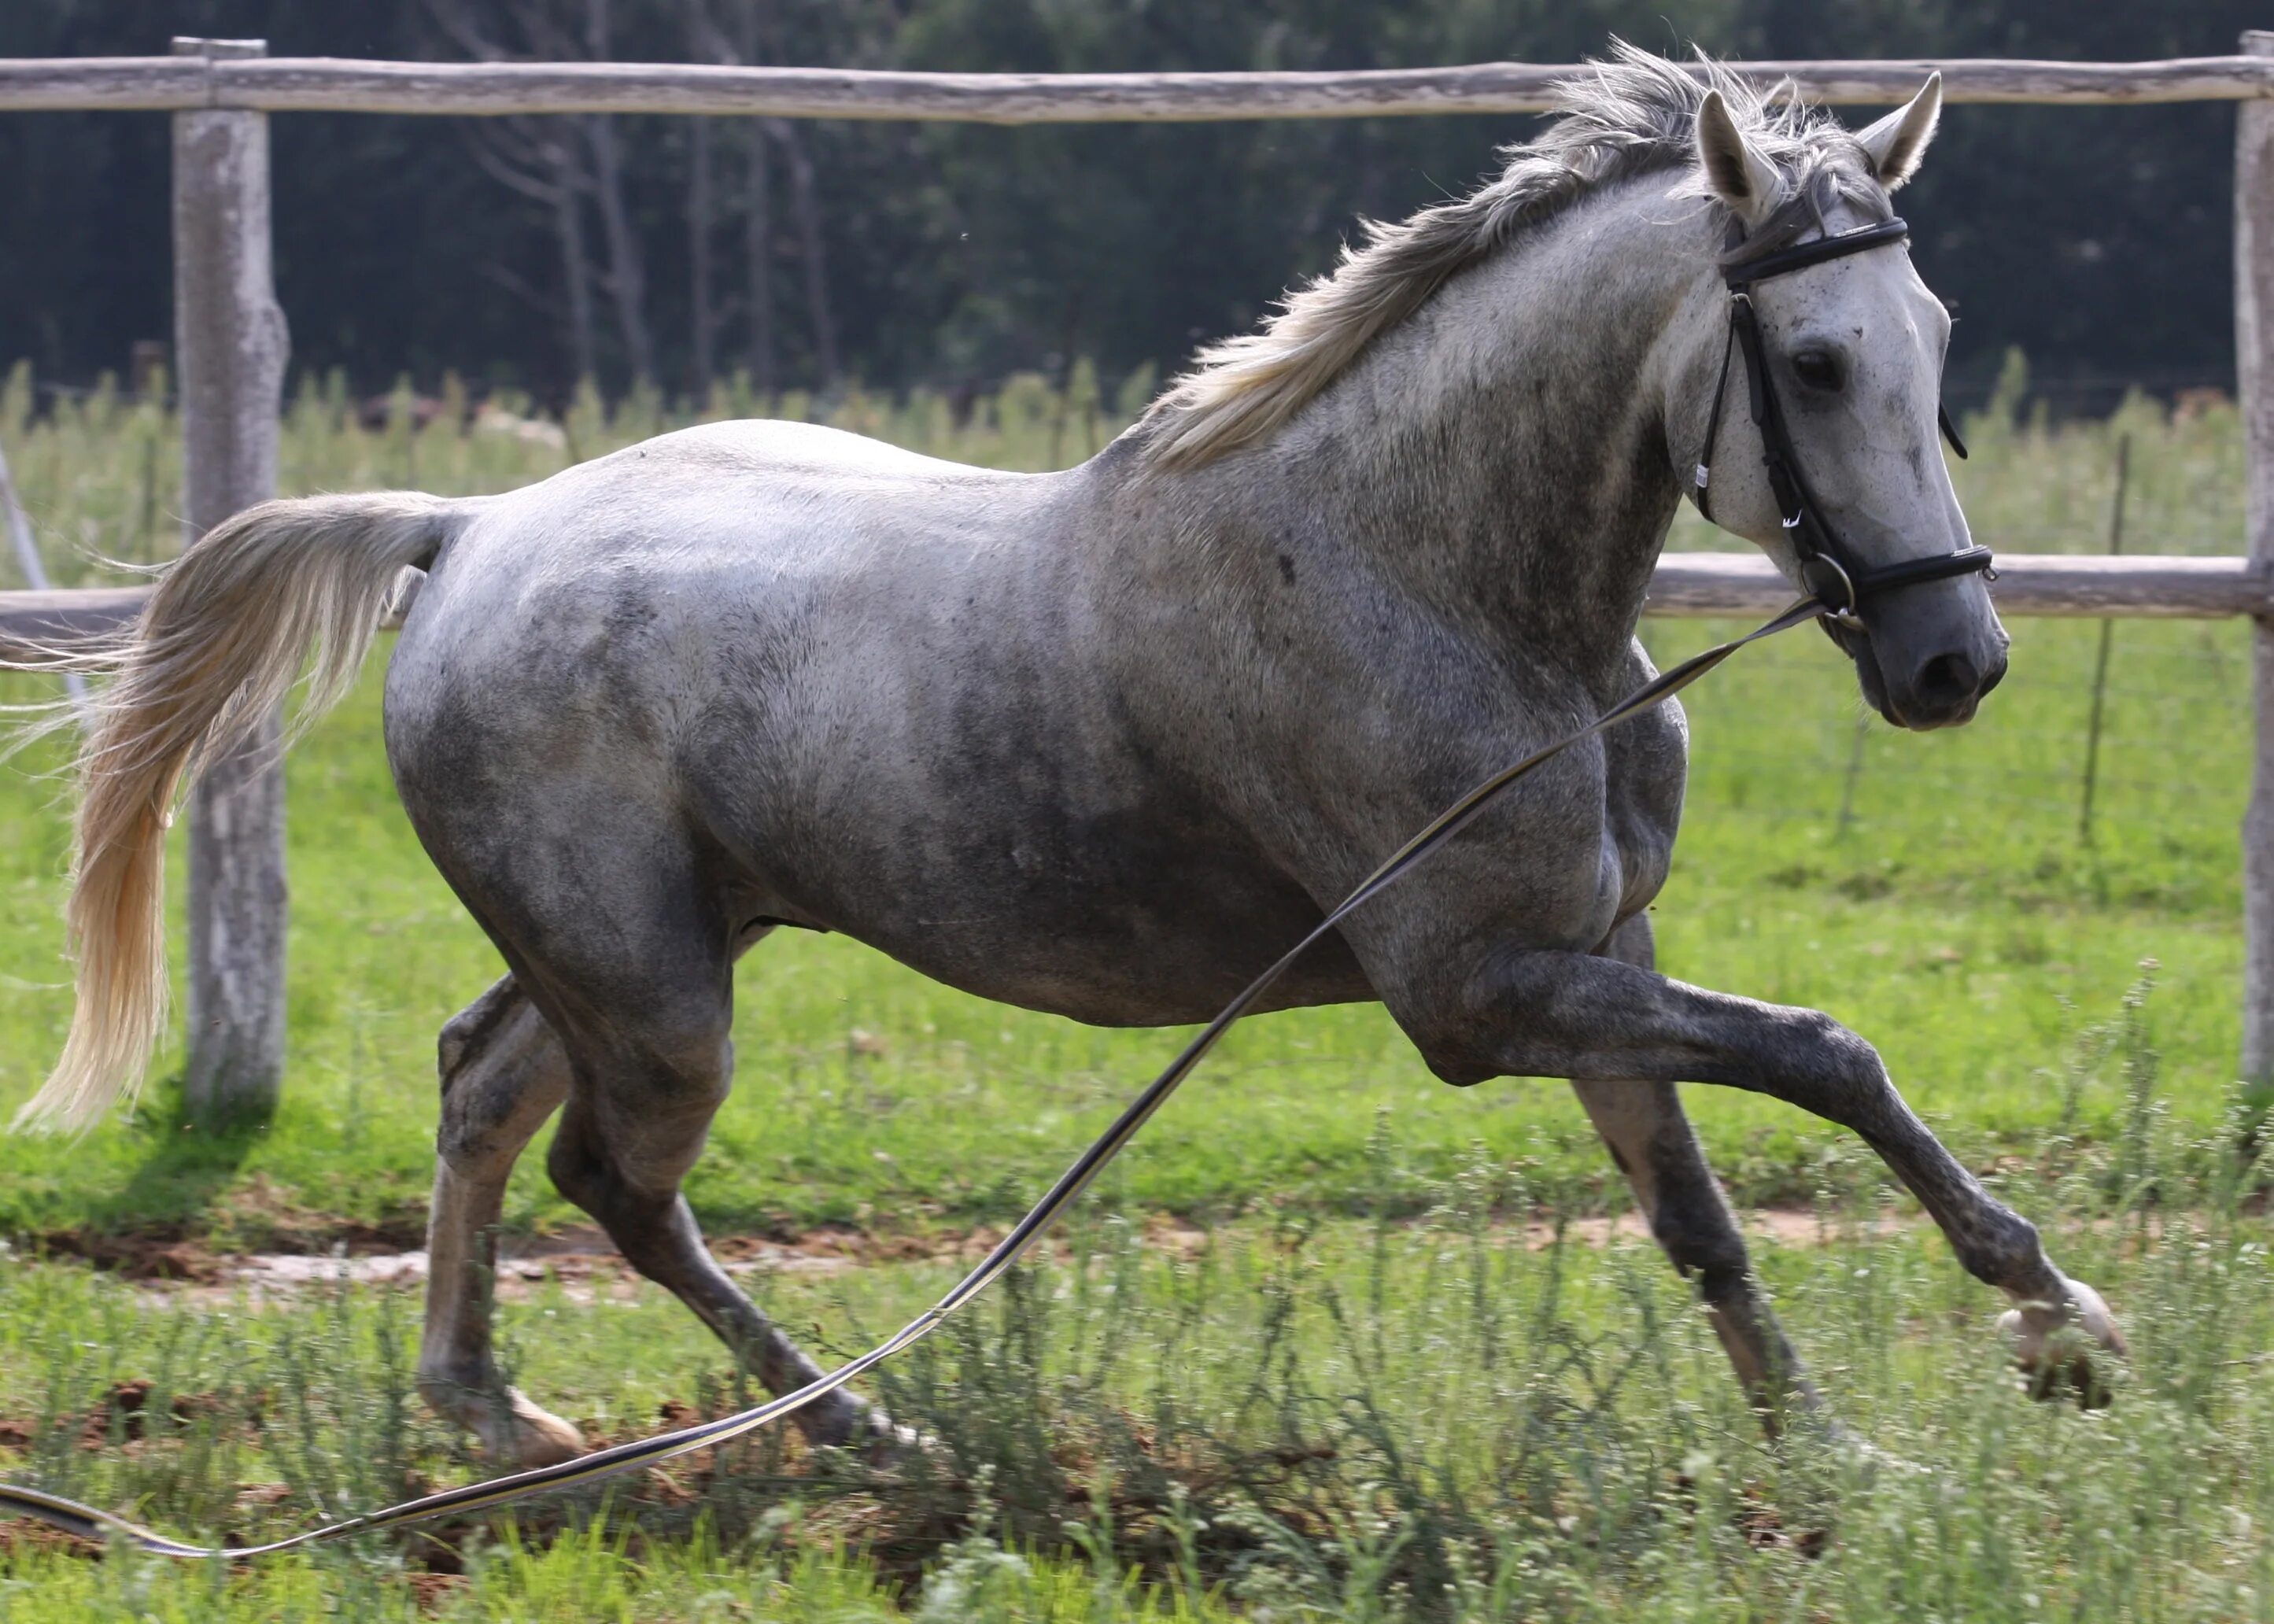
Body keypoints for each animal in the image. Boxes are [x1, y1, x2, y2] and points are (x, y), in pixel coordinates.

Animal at [13, 47, 2110, 1456]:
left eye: (1931, 333)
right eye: (1814, 360)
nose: (1952, 660)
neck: (1433, 578)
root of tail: (463, 534)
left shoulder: (1596, 958)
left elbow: (1698, 1217)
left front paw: (1829, 1454)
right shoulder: (1475, 992)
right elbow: (1826, 1054)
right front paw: (2060, 1322)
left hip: (655, 946)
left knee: (477, 1085)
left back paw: (495, 1412)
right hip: (663, 997)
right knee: (610, 1177)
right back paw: (864, 1436)